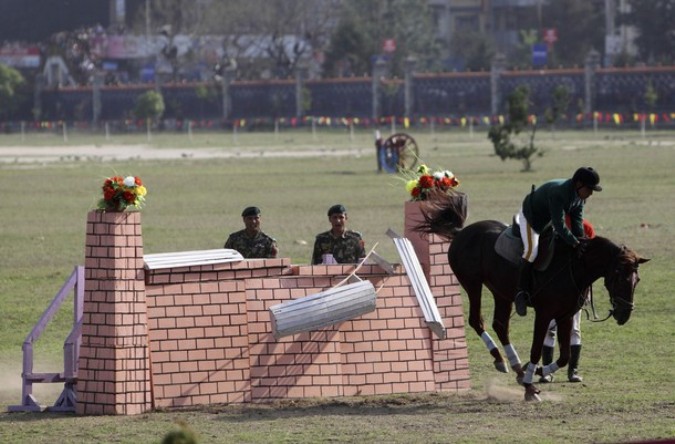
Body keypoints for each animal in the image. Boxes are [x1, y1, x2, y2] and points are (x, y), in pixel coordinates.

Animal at [418, 193, 648, 400]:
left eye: (637, 280)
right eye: (618, 275)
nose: (624, 314)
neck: (574, 266)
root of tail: (462, 232)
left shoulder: (566, 315)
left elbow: (565, 356)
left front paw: (536, 371)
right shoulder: (545, 313)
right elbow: (537, 348)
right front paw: (531, 386)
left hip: (501, 293)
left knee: (500, 325)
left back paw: (517, 368)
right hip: (472, 284)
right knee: (477, 320)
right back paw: (503, 361)